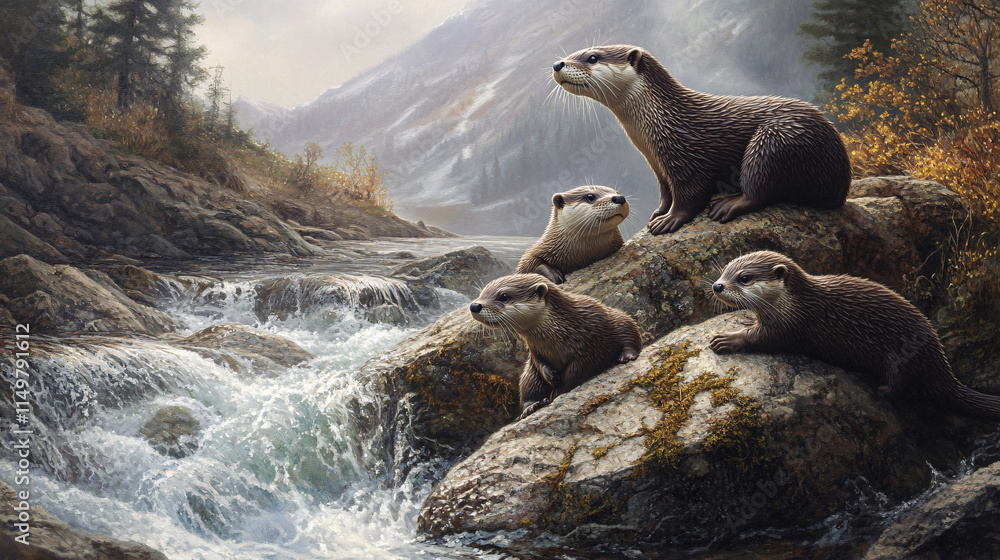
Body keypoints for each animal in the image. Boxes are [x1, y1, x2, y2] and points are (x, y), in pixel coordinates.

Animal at [470, 273, 642, 419]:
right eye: (482, 293)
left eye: (504, 296)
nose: (474, 306)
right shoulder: (535, 351)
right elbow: (540, 364)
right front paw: (550, 377)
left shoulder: (588, 345)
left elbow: (576, 372)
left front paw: (557, 391)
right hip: (529, 374)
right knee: (527, 389)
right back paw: (531, 407)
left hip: (620, 320)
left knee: (630, 334)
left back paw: (626, 356)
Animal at [552, 45, 852, 235]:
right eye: (575, 53)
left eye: (592, 57)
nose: (557, 63)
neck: (662, 122)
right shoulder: (658, 165)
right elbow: (665, 192)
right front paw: (658, 212)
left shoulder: (686, 157)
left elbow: (689, 195)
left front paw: (669, 221)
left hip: (776, 139)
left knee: (759, 187)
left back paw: (727, 204)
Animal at [709, 251, 1000, 419]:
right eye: (724, 270)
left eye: (744, 278)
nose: (717, 286)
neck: (794, 303)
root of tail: (943, 367)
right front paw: (748, 317)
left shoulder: (792, 325)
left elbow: (760, 339)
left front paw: (728, 338)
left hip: (906, 359)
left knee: (903, 387)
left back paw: (880, 389)